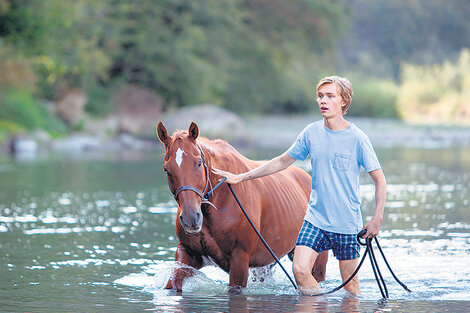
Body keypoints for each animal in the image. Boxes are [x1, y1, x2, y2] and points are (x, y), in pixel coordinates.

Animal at [158, 121, 326, 290]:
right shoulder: (187, 253)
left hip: (315, 261)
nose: (191, 218)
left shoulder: (240, 260)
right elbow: (173, 284)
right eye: (166, 169)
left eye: (198, 163)